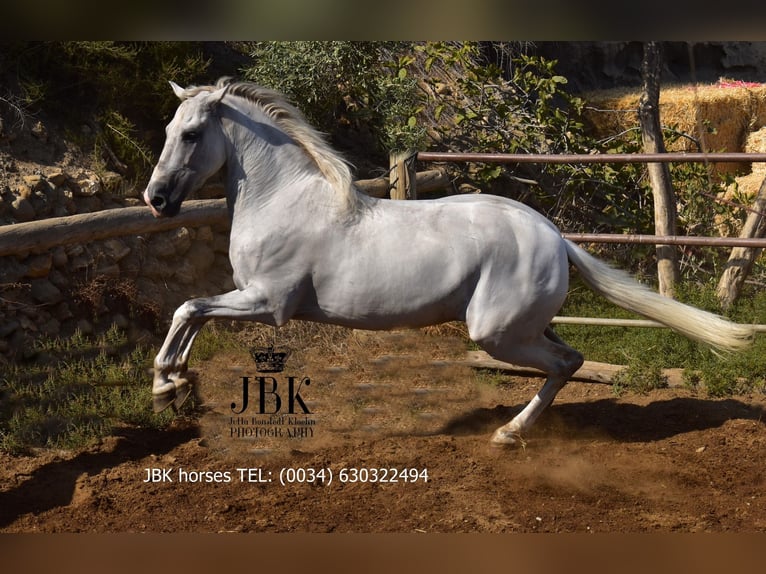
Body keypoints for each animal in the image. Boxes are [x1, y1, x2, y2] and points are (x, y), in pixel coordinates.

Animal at [143, 77, 753, 446]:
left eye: (192, 134)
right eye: (169, 130)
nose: (156, 199)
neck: (282, 200)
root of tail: (556, 236)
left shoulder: (267, 303)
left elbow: (187, 308)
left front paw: (165, 386)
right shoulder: (250, 298)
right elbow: (191, 313)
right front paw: (178, 386)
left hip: (495, 331)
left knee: (563, 364)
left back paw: (508, 434)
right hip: (525, 324)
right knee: (571, 359)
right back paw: (514, 430)